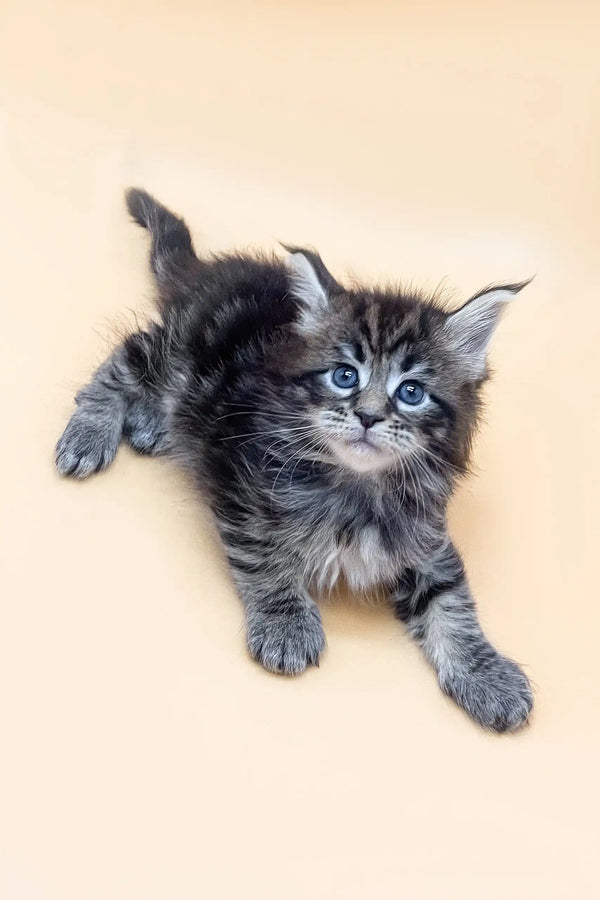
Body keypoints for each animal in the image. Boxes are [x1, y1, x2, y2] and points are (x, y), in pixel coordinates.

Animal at [56, 188, 536, 732]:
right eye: (345, 375)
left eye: (411, 392)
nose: (368, 416)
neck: (355, 488)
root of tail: (208, 271)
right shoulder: (240, 485)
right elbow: (263, 556)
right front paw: (286, 623)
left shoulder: (425, 537)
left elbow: (453, 600)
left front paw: (487, 675)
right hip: (175, 352)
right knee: (126, 355)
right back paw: (91, 431)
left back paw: (149, 424)